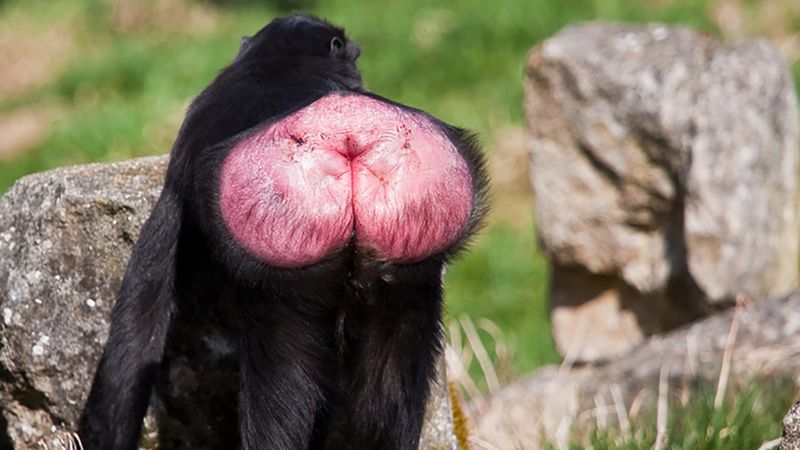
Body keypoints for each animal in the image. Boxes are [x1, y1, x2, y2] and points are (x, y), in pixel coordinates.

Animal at [78, 13, 487, 450]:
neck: (281, 62)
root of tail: (345, 132)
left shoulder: (183, 155)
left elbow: (140, 314)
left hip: (279, 276)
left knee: (283, 386)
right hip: (403, 264)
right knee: (392, 381)